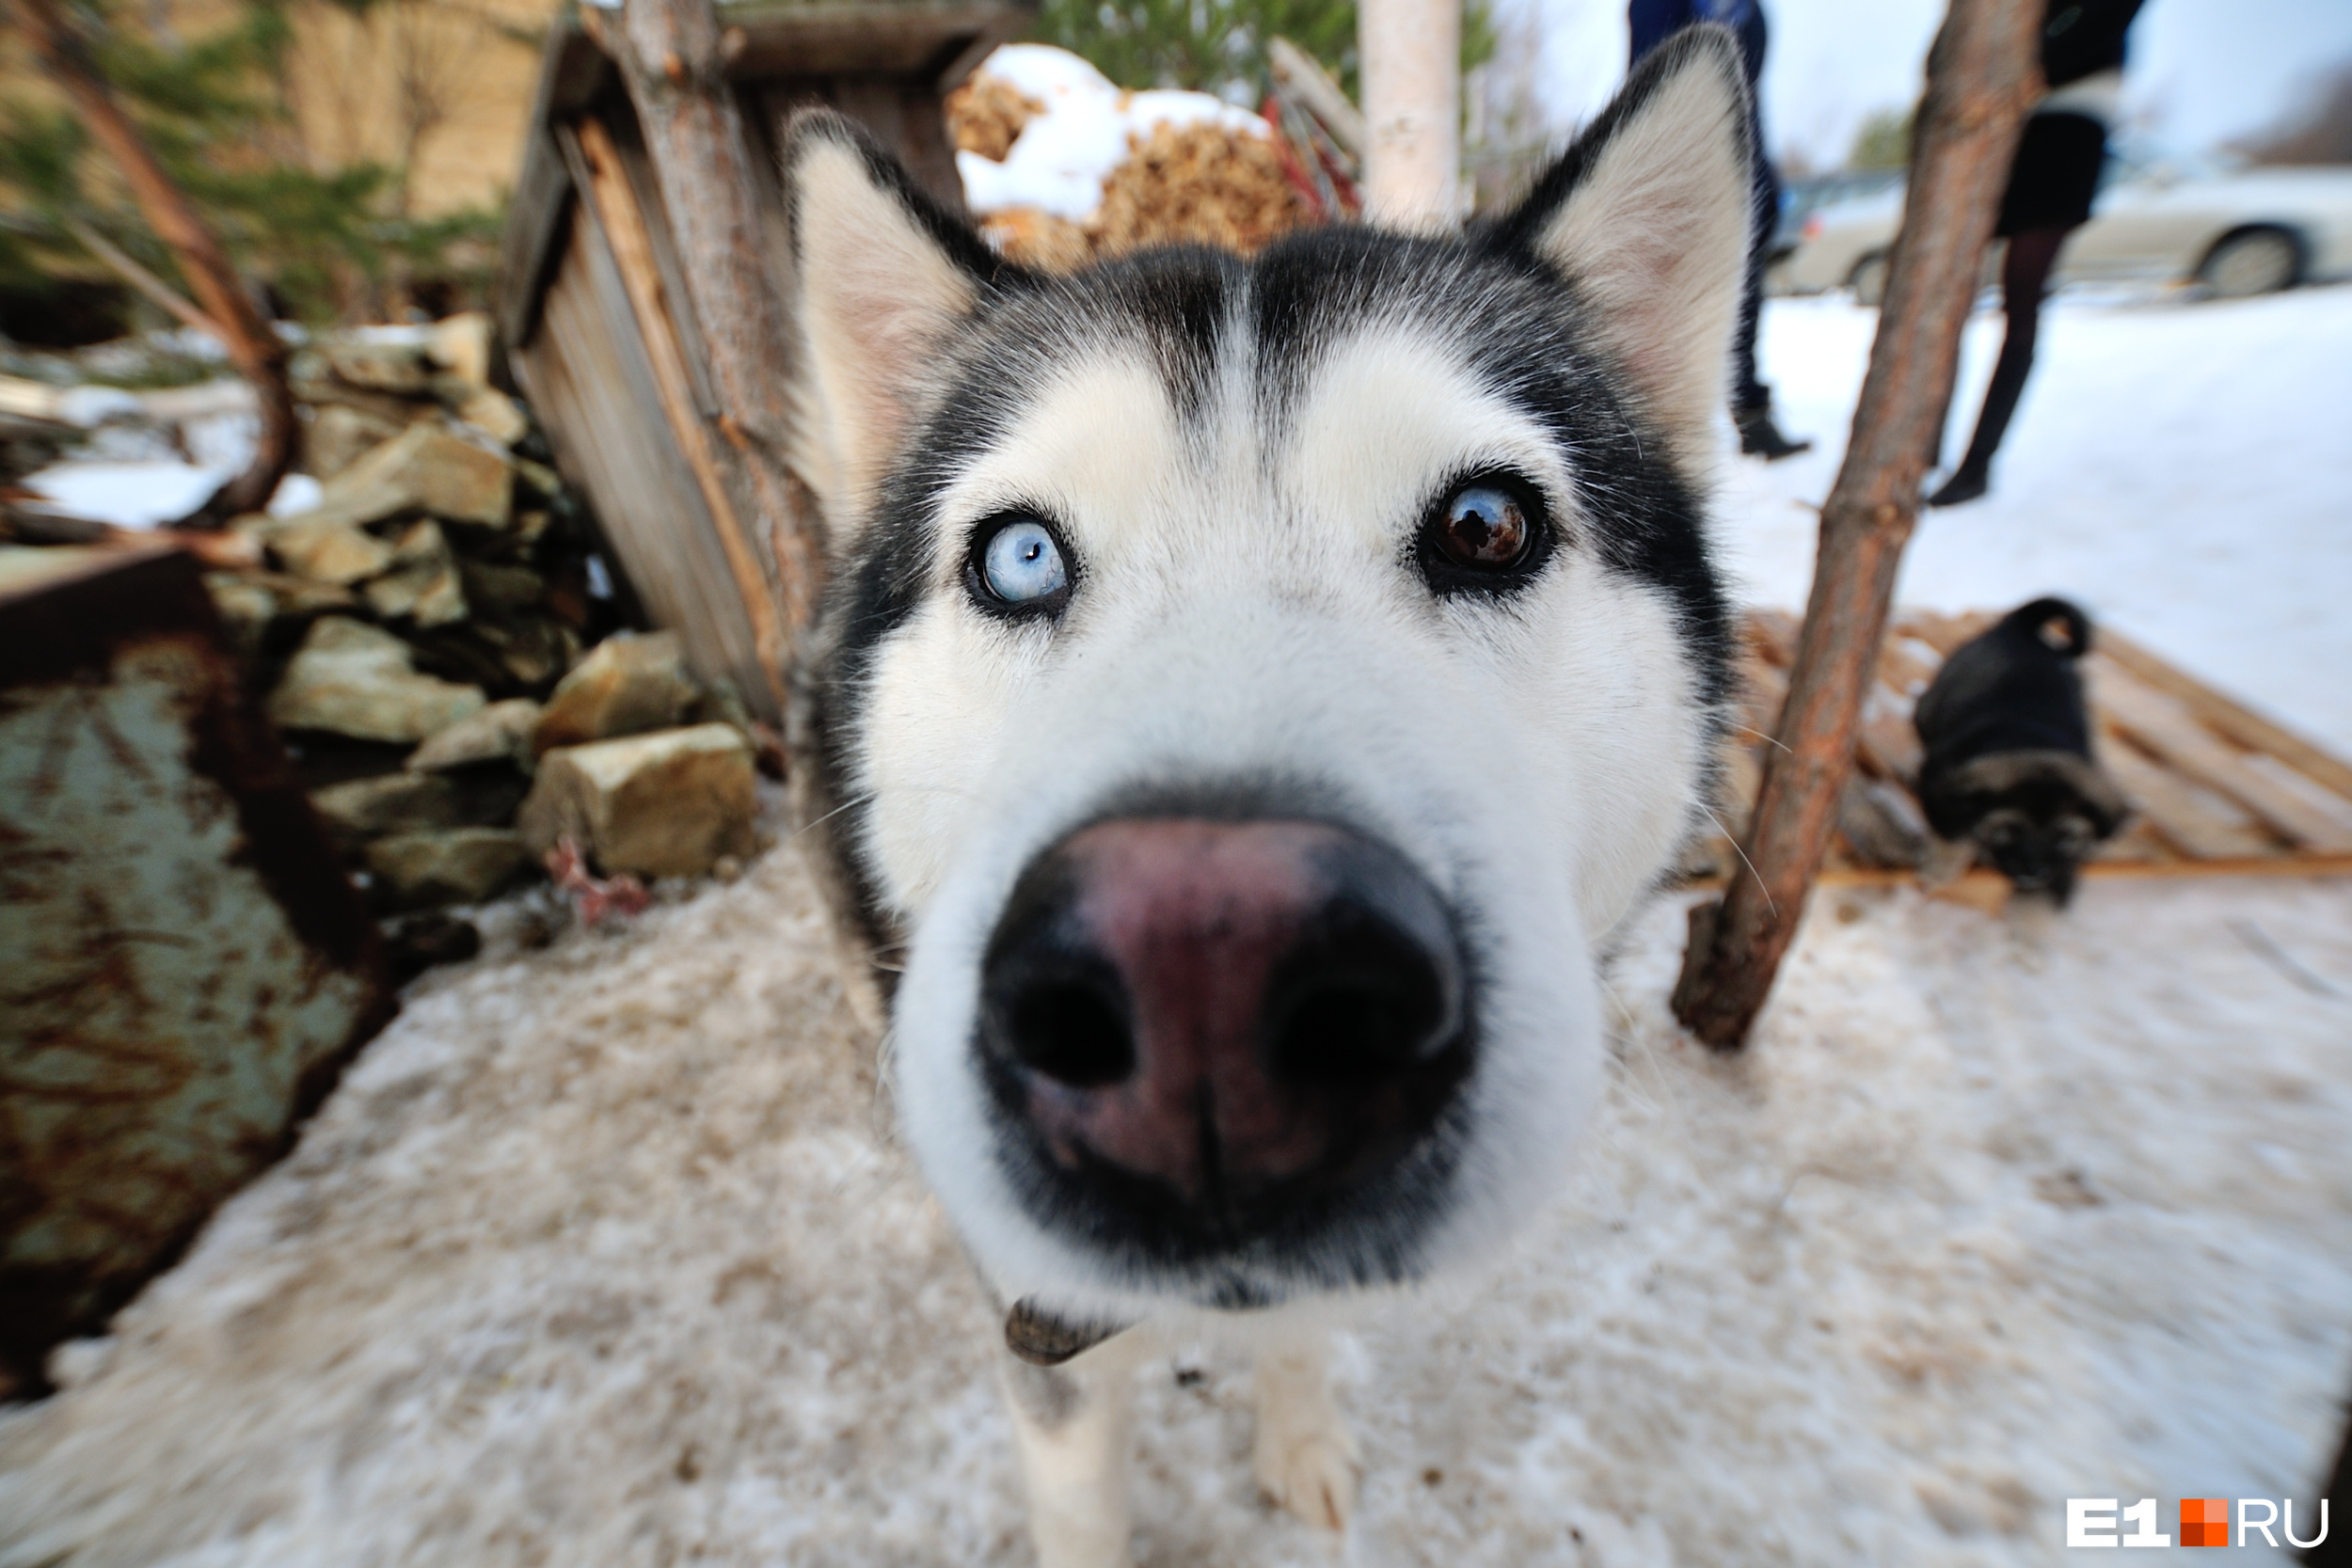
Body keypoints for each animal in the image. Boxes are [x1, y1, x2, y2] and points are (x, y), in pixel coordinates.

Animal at [781, 27, 1759, 1568]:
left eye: (1486, 524)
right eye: (1017, 556)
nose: (1203, 973)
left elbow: (1299, 1349)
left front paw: (1296, 1441)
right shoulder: (1046, 1337)